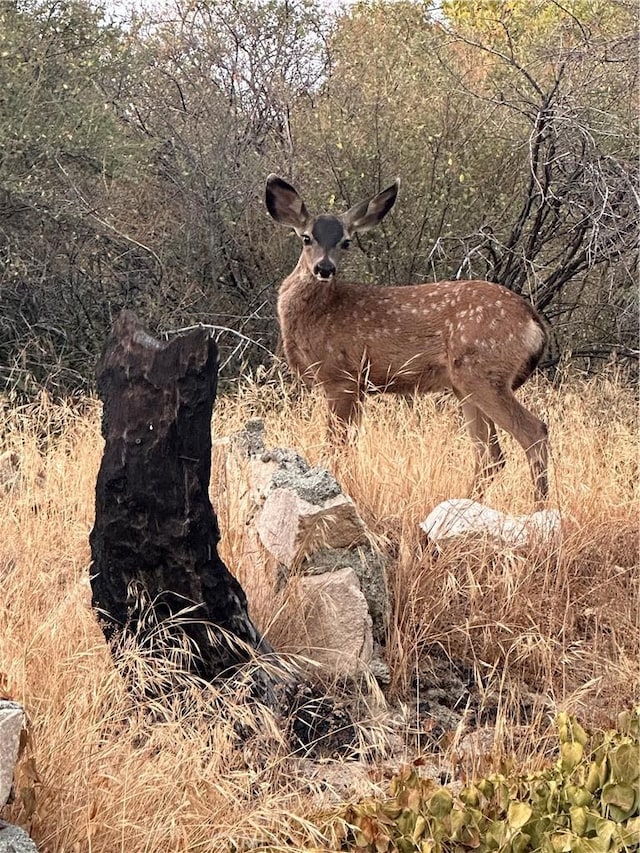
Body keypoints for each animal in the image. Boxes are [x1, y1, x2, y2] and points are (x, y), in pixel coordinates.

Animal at [264, 175, 552, 506]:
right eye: (306, 238)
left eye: (346, 242)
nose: (325, 268)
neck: (321, 313)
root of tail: (534, 322)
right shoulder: (359, 387)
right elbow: (349, 446)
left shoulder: (341, 378)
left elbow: (336, 447)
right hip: (466, 386)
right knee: (490, 455)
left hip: (483, 373)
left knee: (533, 433)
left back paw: (539, 508)